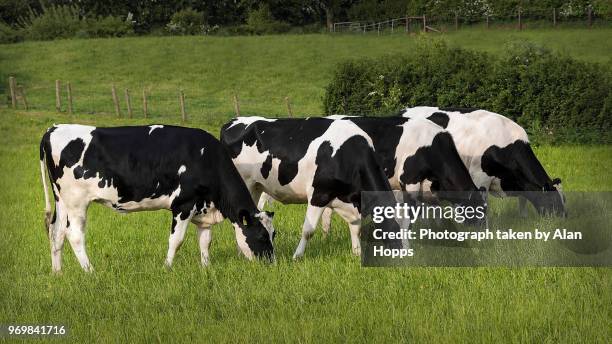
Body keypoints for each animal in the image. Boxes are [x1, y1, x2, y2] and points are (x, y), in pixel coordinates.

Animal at [39, 125, 274, 272]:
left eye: (275, 234)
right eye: (262, 236)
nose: (272, 264)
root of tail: (54, 129)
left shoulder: (203, 208)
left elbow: (205, 241)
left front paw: (206, 267)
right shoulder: (183, 205)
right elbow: (176, 240)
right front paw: (167, 267)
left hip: (62, 200)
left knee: (56, 233)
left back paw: (57, 272)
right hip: (76, 201)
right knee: (74, 235)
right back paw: (90, 271)